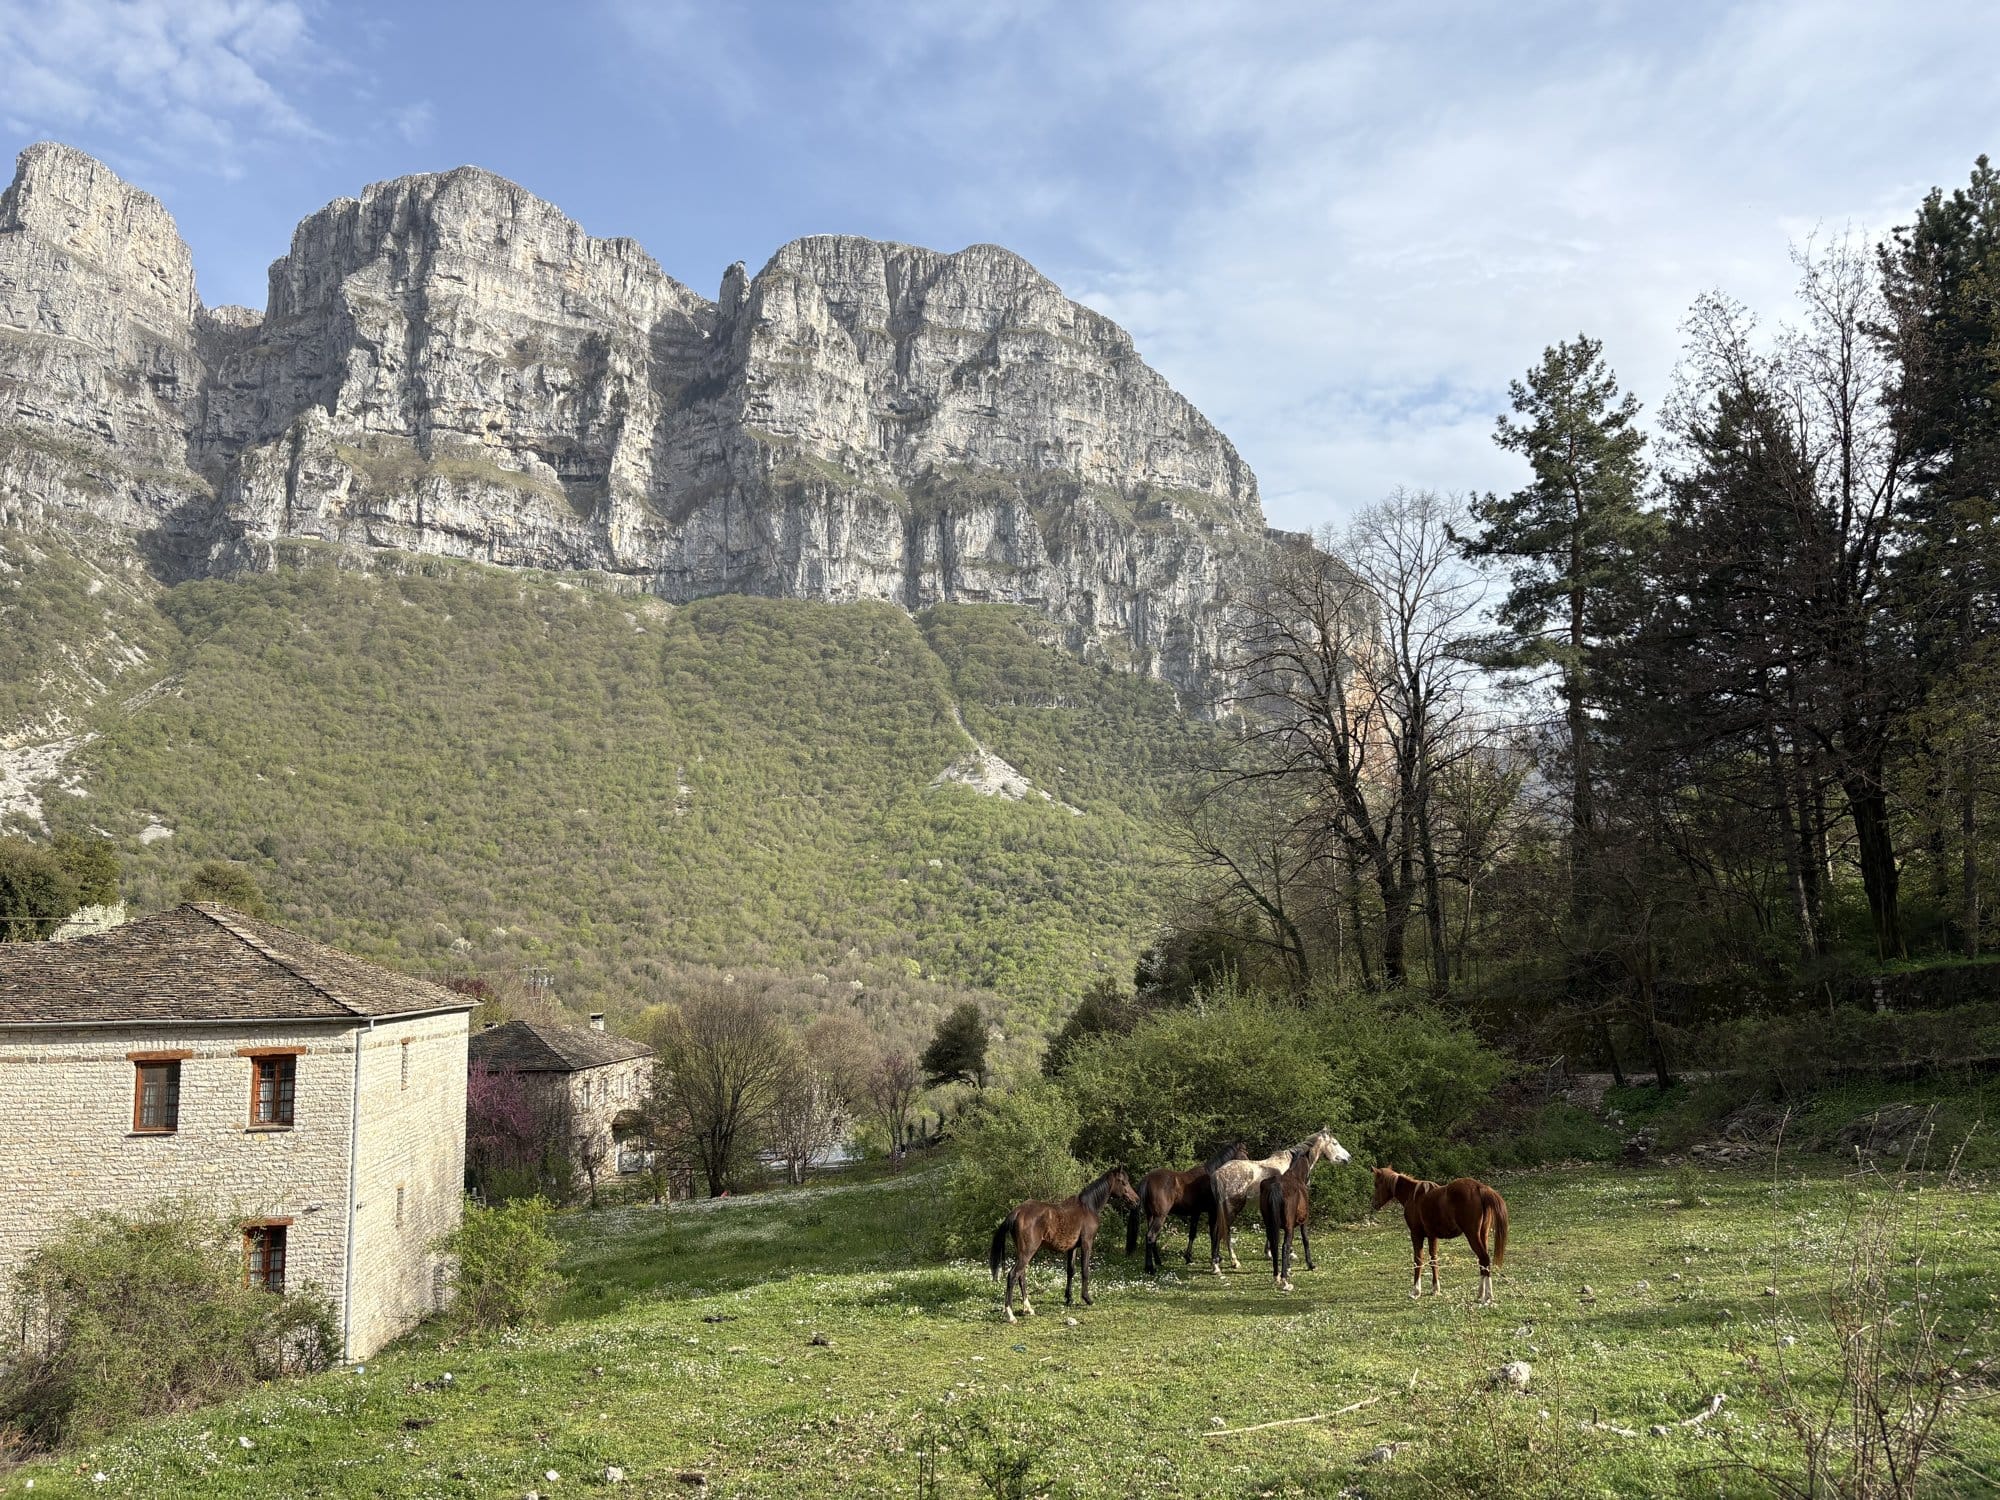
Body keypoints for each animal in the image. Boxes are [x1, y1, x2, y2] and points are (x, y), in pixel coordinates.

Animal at [989, 1167, 1140, 1323]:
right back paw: (1010, 1314)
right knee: (1013, 1275)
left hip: (1024, 1253)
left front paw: (1069, 1298)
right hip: (1027, 1252)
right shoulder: (1087, 1243)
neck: (1088, 1207)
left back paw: (1028, 1309)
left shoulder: (1072, 1248)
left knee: (1021, 1275)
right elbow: (1085, 1270)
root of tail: (1017, 1211)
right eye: (1123, 1182)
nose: (1136, 1200)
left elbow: (1070, 1271)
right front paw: (1087, 1299)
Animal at [1126, 1141, 1249, 1274]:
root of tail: (1147, 1179)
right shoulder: (1213, 1212)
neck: (1212, 1176)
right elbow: (1215, 1234)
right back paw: (1150, 1268)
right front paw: (1217, 1260)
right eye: (1245, 1152)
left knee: (1152, 1238)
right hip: (1160, 1217)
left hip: (1151, 1216)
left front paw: (1189, 1257)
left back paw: (1158, 1262)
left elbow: (1193, 1234)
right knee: (1151, 1237)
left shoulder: (1196, 1212)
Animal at [1209, 1129, 1350, 1274]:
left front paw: (1269, 1252)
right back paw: (1226, 1264)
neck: (1293, 1168)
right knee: (1222, 1232)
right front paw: (1291, 1254)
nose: (1348, 1158)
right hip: (1232, 1209)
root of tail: (1218, 1174)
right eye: (1335, 1143)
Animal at [1256, 1131, 1348, 1290]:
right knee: (1284, 1246)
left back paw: (1276, 1276)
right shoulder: (1304, 1221)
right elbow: (1305, 1240)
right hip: (1288, 1227)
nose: (1348, 1158)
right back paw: (1284, 1279)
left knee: (1274, 1245)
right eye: (1335, 1143)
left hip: (1269, 1225)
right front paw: (1310, 1265)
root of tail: (1276, 1187)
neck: (1295, 1175)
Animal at [1370, 1165, 1509, 1305]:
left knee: (1484, 1259)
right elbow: (1434, 1259)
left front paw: (1415, 1291)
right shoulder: (1432, 1236)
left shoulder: (1416, 1234)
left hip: (1472, 1235)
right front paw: (1435, 1289)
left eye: (1376, 1184)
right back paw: (1481, 1294)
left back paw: (1487, 1297)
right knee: (1483, 1262)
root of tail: (1479, 1188)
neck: (1413, 1196)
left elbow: (1418, 1260)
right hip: (1482, 1235)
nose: (1374, 1204)